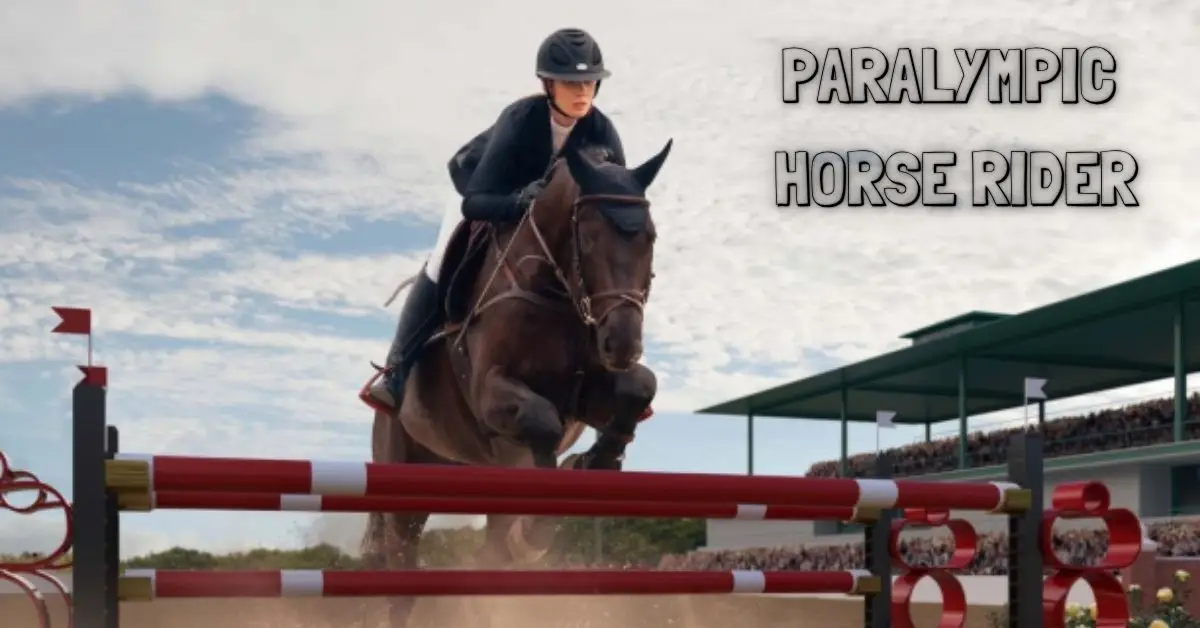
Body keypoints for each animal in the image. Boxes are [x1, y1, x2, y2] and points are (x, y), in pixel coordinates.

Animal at [359, 139, 672, 626]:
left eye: (650, 238)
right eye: (588, 237)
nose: (623, 343)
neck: (556, 292)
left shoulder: (587, 392)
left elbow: (639, 389)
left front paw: (594, 463)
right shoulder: (492, 393)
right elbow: (540, 420)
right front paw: (537, 528)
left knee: (488, 553)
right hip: (404, 475)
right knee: (401, 574)